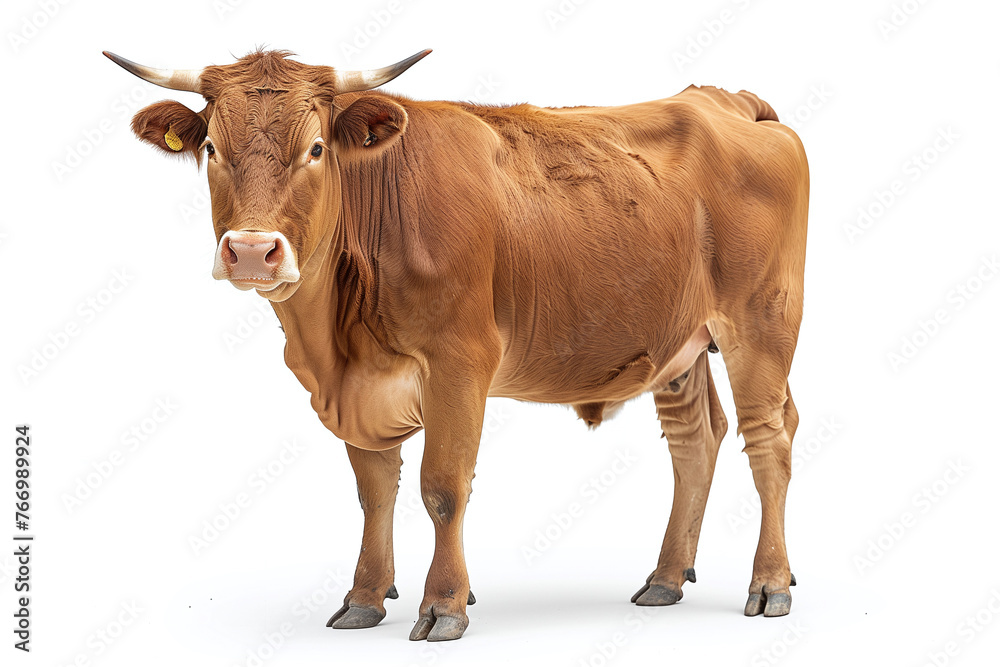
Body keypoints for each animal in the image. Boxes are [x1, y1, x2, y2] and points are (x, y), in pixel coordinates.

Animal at [107, 47, 812, 640]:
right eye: (212, 149)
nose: (253, 251)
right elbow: (374, 492)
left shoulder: (460, 362)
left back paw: (769, 583)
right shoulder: (357, 389)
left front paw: (444, 604)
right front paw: (365, 597)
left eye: (315, 148)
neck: (335, 343)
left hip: (760, 323)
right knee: (697, 440)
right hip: (677, 341)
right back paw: (665, 579)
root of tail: (724, 99)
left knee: (769, 438)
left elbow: (442, 487)